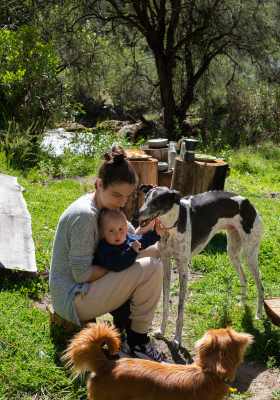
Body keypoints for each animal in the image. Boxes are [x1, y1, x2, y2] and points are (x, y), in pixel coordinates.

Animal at [132, 187, 264, 346]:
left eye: (157, 202)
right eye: (145, 199)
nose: (135, 215)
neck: (172, 224)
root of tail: (247, 202)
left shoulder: (183, 270)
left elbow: (180, 308)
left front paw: (177, 339)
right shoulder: (166, 264)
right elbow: (165, 304)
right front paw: (161, 331)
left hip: (250, 256)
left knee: (260, 286)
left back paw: (258, 314)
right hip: (232, 252)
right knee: (244, 279)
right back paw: (241, 305)